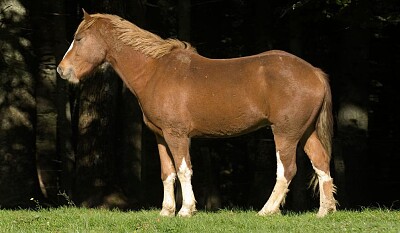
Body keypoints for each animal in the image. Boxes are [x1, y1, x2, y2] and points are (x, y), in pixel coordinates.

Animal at [57, 10, 338, 218]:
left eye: (79, 38)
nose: (62, 70)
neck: (155, 70)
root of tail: (314, 73)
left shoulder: (177, 135)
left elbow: (184, 170)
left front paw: (186, 210)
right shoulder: (161, 136)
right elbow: (167, 173)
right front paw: (166, 211)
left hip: (285, 133)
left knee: (287, 169)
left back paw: (267, 211)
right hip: (305, 132)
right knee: (321, 163)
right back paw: (323, 212)